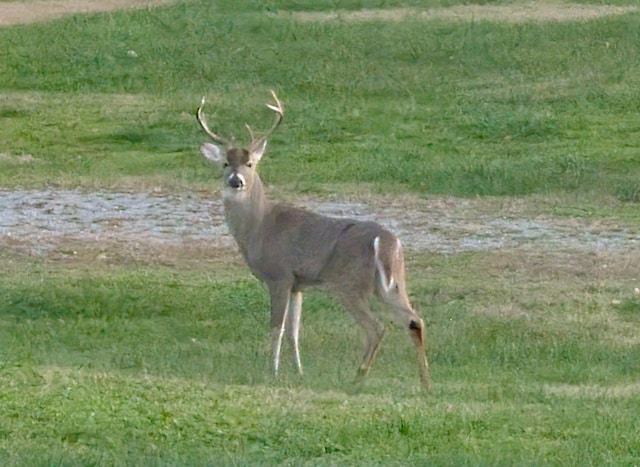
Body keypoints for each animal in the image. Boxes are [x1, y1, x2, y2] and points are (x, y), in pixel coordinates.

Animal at [195, 90, 430, 392]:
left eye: (250, 164)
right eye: (225, 163)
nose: (236, 181)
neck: (260, 227)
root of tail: (386, 241)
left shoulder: (280, 275)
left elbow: (277, 327)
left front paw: (272, 371)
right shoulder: (299, 284)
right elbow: (295, 331)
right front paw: (299, 371)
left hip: (349, 284)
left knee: (377, 327)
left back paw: (358, 378)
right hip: (392, 283)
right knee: (414, 320)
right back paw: (425, 383)